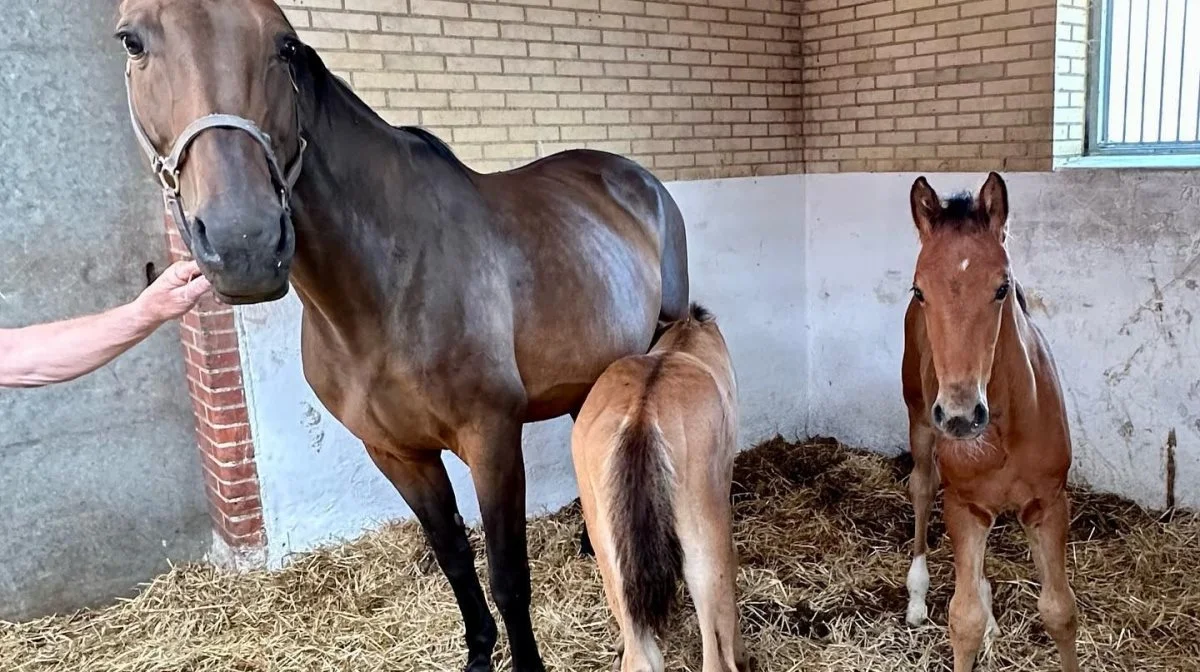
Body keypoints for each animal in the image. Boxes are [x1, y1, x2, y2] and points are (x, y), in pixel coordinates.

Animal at [114, 2, 686, 667]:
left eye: (284, 45)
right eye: (132, 41)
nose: (244, 243)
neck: (388, 285)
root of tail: (637, 179)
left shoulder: (491, 437)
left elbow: (507, 575)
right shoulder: (395, 453)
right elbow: (455, 559)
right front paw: (478, 652)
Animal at [902, 172, 1080, 672]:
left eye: (1003, 287)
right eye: (919, 290)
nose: (961, 417)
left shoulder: (1048, 503)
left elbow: (1059, 611)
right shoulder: (963, 506)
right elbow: (963, 620)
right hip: (920, 421)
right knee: (921, 487)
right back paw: (916, 596)